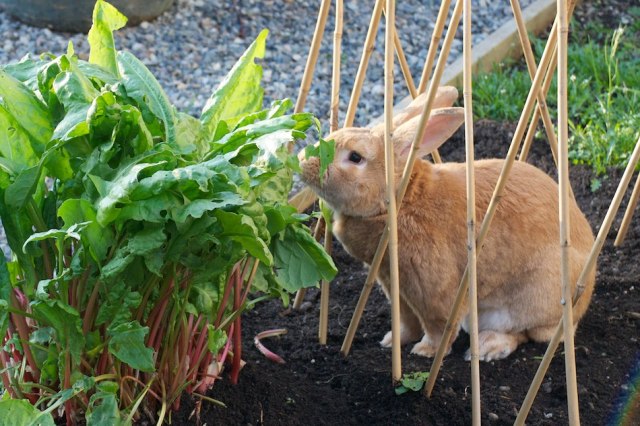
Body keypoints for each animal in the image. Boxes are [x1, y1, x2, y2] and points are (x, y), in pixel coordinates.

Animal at [298, 86, 596, 361]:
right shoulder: (394, 285)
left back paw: (488, 347)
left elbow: (437, 325)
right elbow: (407, 320)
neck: (398, 199)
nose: (303, 162)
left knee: (531, 334)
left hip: (528, 303)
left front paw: (426, 351)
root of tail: (587, 288)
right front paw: (392, 341)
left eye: (355, 157)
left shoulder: (431, 288)